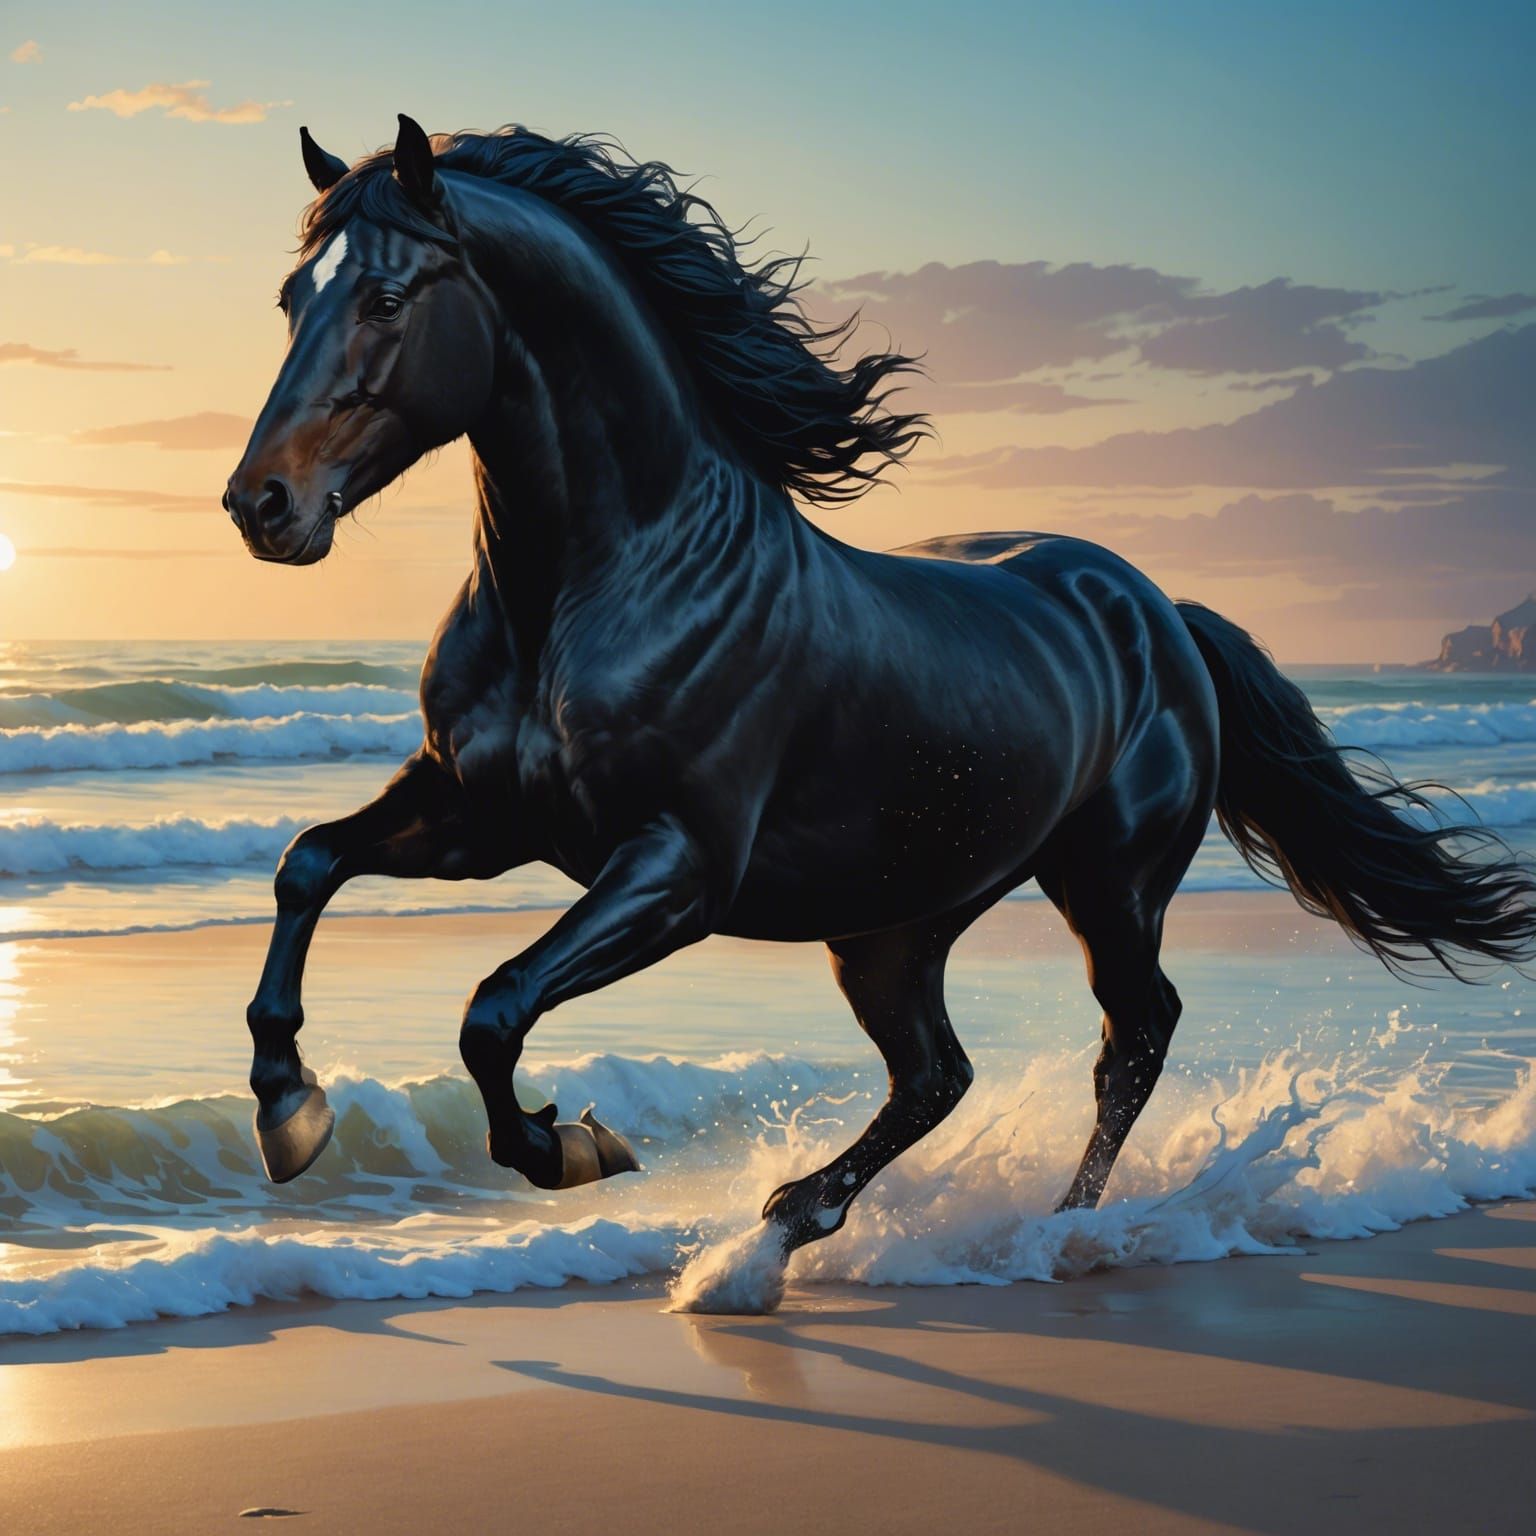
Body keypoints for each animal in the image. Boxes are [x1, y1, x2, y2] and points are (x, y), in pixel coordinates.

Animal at [225, 115, 1536, 1288]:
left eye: (387, 299)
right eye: (291, 299)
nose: (260, 504)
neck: (603, 585)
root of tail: (1162, 611)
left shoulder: (676, 870)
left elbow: (492, 1009)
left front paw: (569, 1147)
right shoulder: (483, 817)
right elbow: (308, 864)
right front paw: (290, 1113)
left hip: (1107, 884)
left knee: (1132, 1036)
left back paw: (1048, 1234)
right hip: (892, 925)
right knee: (938, 1073)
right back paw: (789, 1225)